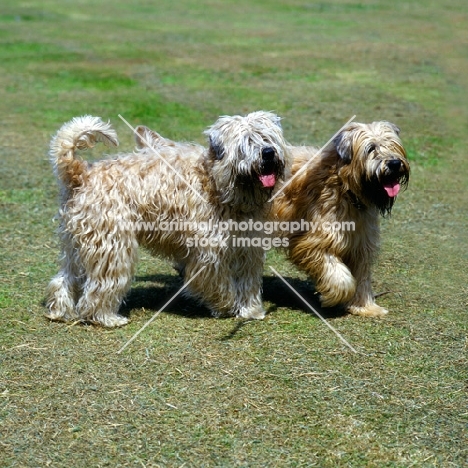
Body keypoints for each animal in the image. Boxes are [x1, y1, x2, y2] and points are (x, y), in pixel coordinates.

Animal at [46, 111, 288, 328]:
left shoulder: (249, 248)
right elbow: (218, 283)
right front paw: (226, 306)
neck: (215, 183)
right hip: (112, 247)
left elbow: (248, 282)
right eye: (246, 142)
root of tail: (82, 173)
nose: (268, 153)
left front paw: (251, 310)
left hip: (76, 245)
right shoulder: (210, 253)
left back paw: (61, 312)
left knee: (65, 278)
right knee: (100, 287)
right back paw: (107, 318)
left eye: (267, 137)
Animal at [274, 120, 410, 318]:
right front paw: (332, 296)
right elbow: (340, 277)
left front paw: (365, 307)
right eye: (371, 148)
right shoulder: (313, 242)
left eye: (393, 144)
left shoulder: (361, 244)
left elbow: (362, 277)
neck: (346, 189)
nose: (394, 163)